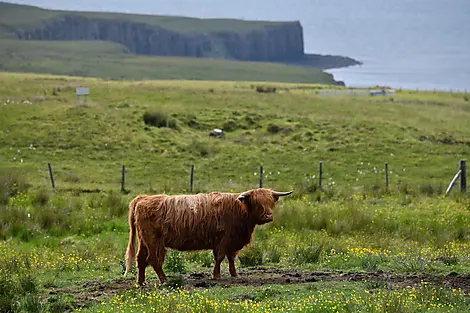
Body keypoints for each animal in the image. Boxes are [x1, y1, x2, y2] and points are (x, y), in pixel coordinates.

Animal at [123, 186, 292, 284]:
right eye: (257, 202)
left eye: (271, 202)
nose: (268, 217)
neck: (239, 210)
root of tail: (143, 198)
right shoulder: (223, 240)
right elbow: (220, 258)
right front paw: (216, 276)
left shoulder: (232, 241)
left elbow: (231, 258)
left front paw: (234, 274)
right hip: (154, 241)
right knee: (154, 260)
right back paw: (164, 280)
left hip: (144, 240)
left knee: (140, 259)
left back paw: (141, 282)